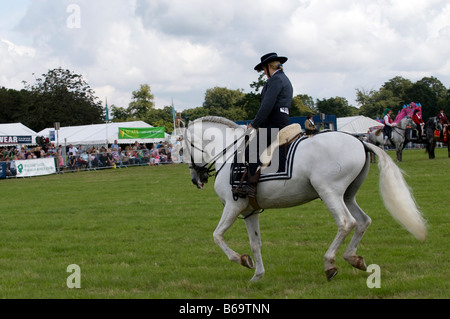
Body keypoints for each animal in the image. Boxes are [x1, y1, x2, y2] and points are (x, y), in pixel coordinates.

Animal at [185, 116, 428, 282]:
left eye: (185, 146)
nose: (196, 179)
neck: (229, 154)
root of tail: (361, 142)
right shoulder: (249, 211)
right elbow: (255, 243)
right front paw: (258, 275)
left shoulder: (233, 206)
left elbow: (217, 236)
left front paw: (241, 260)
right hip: (347, 195)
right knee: (363, 221)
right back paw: (353, 258)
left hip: (329, 192)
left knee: (346, 222)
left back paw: (330, 264)